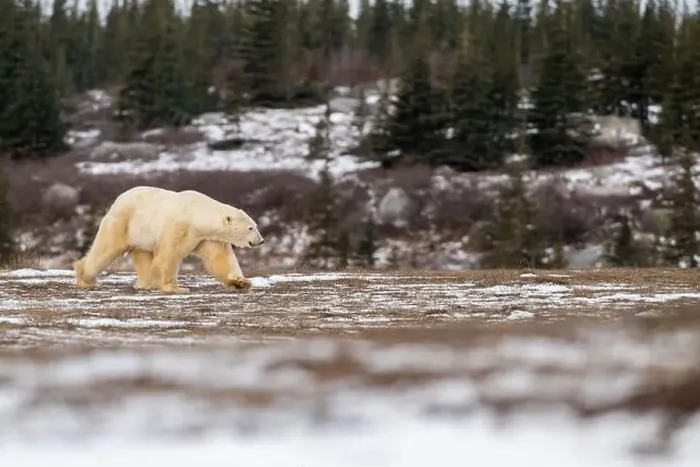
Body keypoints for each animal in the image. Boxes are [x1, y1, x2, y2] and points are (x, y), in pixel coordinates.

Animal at [74, 186, 265, 294]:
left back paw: (146, 284)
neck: (197, 215)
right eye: (250, 228)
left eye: (255, 226)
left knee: (143, 256)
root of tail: (118, 200)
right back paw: (85, 279)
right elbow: (169, 254)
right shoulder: (180, 227)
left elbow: (221, 259)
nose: (261, 241)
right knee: (106, 249)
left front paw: (241, 282)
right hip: (123, 222)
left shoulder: (207, 237)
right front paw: (177, 288)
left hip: (142, 232)